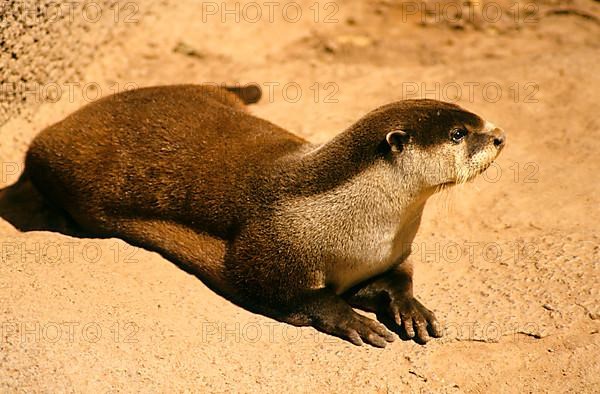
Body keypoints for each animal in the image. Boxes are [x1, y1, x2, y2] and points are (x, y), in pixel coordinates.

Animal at [22, 84, 502, 348]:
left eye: (476, 119)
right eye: (459, 133)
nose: (498, 135)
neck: (361, 228)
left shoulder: (387, 254)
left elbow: (397, 278)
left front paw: (411, 308)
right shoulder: (272, 245)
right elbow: (283, 291)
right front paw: (352, 320)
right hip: (59, 164)